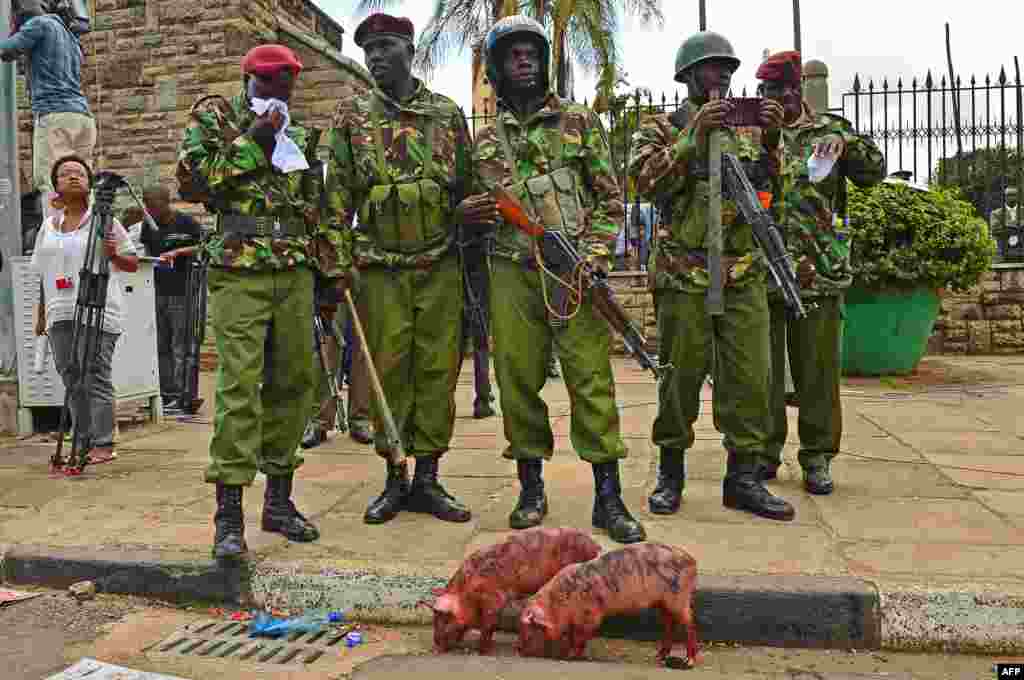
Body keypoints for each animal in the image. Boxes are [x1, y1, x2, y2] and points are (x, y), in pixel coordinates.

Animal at [419, 524, 602, 655]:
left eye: (445, 621)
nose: (436, 649)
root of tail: (596, 547)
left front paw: (483, 651)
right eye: (434, 621)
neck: (467, 592)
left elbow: (489, 624)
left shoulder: (494, 598)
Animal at [520, 544, 696, 667]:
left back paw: (689, 661)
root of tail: (692, 561)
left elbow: (580, 637)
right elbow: (572, 635)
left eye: (530, 630)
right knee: (669, 624)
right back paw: (659, 657)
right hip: (663, 603)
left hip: (678, 597)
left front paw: (570, 656)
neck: (559, 601)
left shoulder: (590, 615)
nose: (519, 651)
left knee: (689, 622)